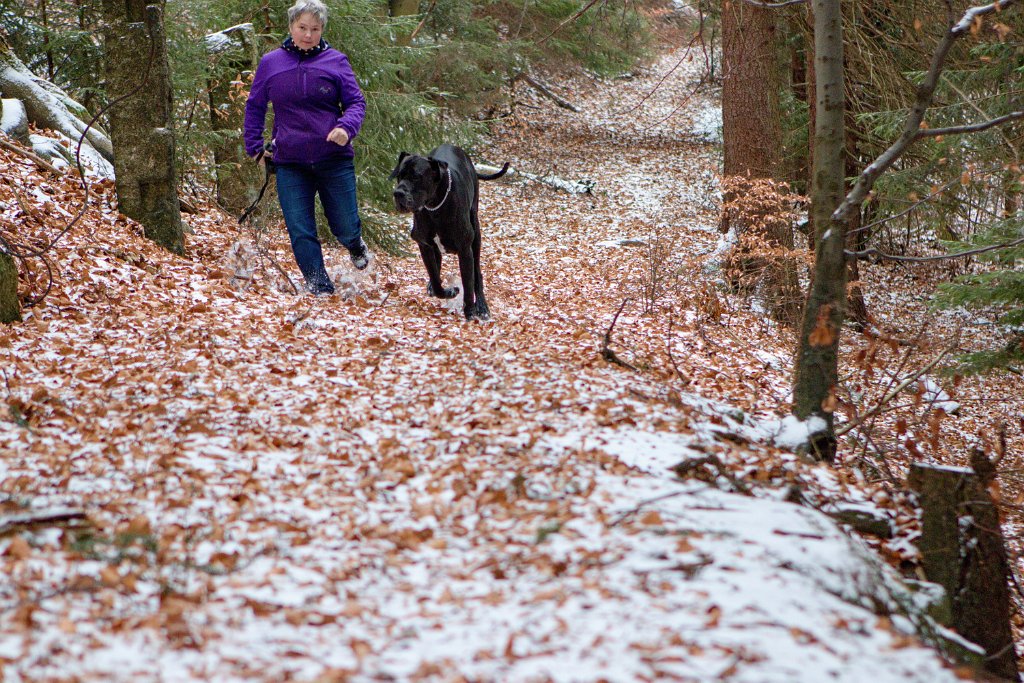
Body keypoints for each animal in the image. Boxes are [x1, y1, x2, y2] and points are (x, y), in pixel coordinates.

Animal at [387, 144, 507, 321]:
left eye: (416, 177)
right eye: (399, 175)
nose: (398, 193)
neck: (435, 206)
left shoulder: (465, 249)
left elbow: (468, 283)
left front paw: (470, 312)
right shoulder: (425, 245)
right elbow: (436, 280)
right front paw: (449, 291)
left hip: (475, 235)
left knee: (477, 275)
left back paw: (482, 307)